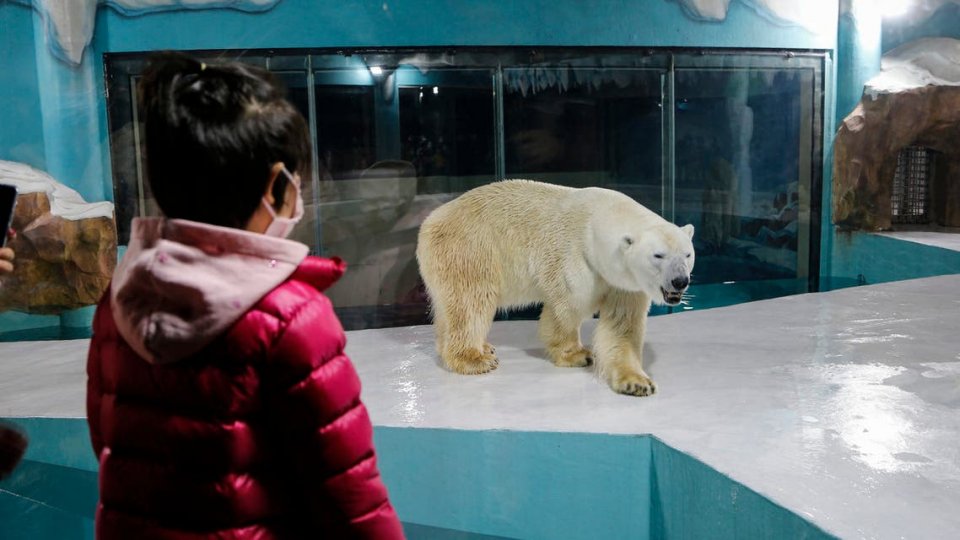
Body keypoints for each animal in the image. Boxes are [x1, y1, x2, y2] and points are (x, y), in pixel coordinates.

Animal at [416, 181, 692, 396]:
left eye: (687, 254)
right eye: (658, 255)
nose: (680, 281)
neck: (596, 219)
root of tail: (429, 221)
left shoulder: (623, 282)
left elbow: (621, 327)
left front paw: (637, 383)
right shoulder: (573, 255)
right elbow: (566, 307)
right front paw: (578, 354)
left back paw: (479, 347)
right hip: (469, 250)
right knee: (471, 302)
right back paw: (475, 358)